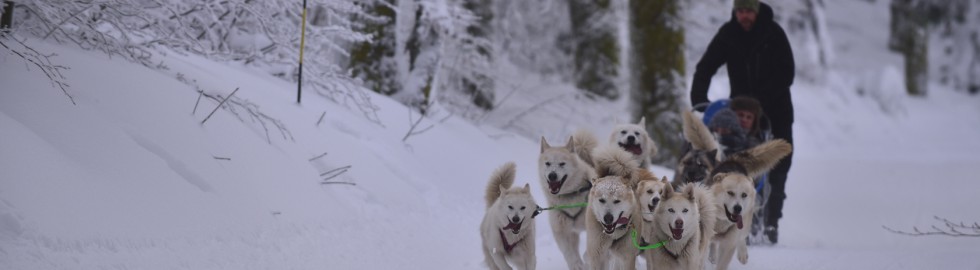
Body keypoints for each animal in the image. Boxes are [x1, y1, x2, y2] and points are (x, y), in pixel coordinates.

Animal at [536, 135, 596, 270]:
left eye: (562, 163)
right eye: (547, 163)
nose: (552, 175)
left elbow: (589, 253)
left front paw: (588, 261)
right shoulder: (563, 232)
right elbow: (570, 255)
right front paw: (577, 265)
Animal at [708, 139, 792, 270]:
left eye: (744, 195)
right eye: (730, 192)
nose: (738, 208)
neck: (721, 221)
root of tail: (735, 161)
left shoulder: (729, 244)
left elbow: (722, 263)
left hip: (745, 224)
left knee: (742, 238)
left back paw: (742, 255)